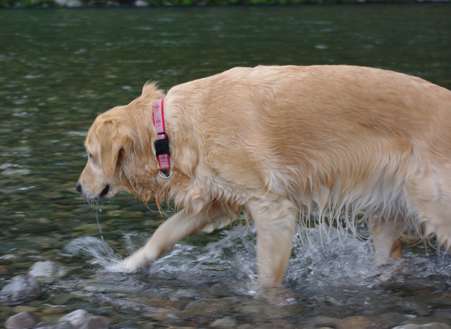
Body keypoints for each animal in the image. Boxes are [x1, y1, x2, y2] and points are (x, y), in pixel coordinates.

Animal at [76, 65, 451, 284]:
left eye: (90, 155)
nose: (78, 188)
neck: (167, 130)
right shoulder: (213, 201)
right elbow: (162, 235)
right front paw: (127, 265)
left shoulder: (274, 208)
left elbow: (268, 273)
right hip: (386, 215)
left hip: (434, 203)